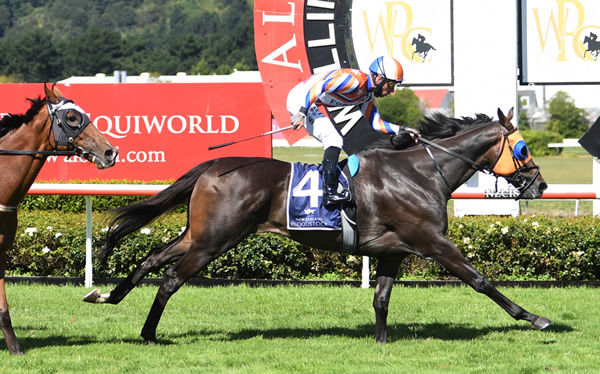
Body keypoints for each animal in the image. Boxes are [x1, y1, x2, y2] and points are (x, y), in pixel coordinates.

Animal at [86, 107, 552, 344]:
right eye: (523, 148)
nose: (541, 184)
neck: (421, 173)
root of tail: (211, 167)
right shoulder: (432, 241)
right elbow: (481, 280)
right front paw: (534, 318)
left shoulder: (393, 250)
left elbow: (381, 299)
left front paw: (381, 343)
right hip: (215, 239)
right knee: (169, 279)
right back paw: (148, 333)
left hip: (200, 233)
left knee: (152, 258)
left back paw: (107, 295)